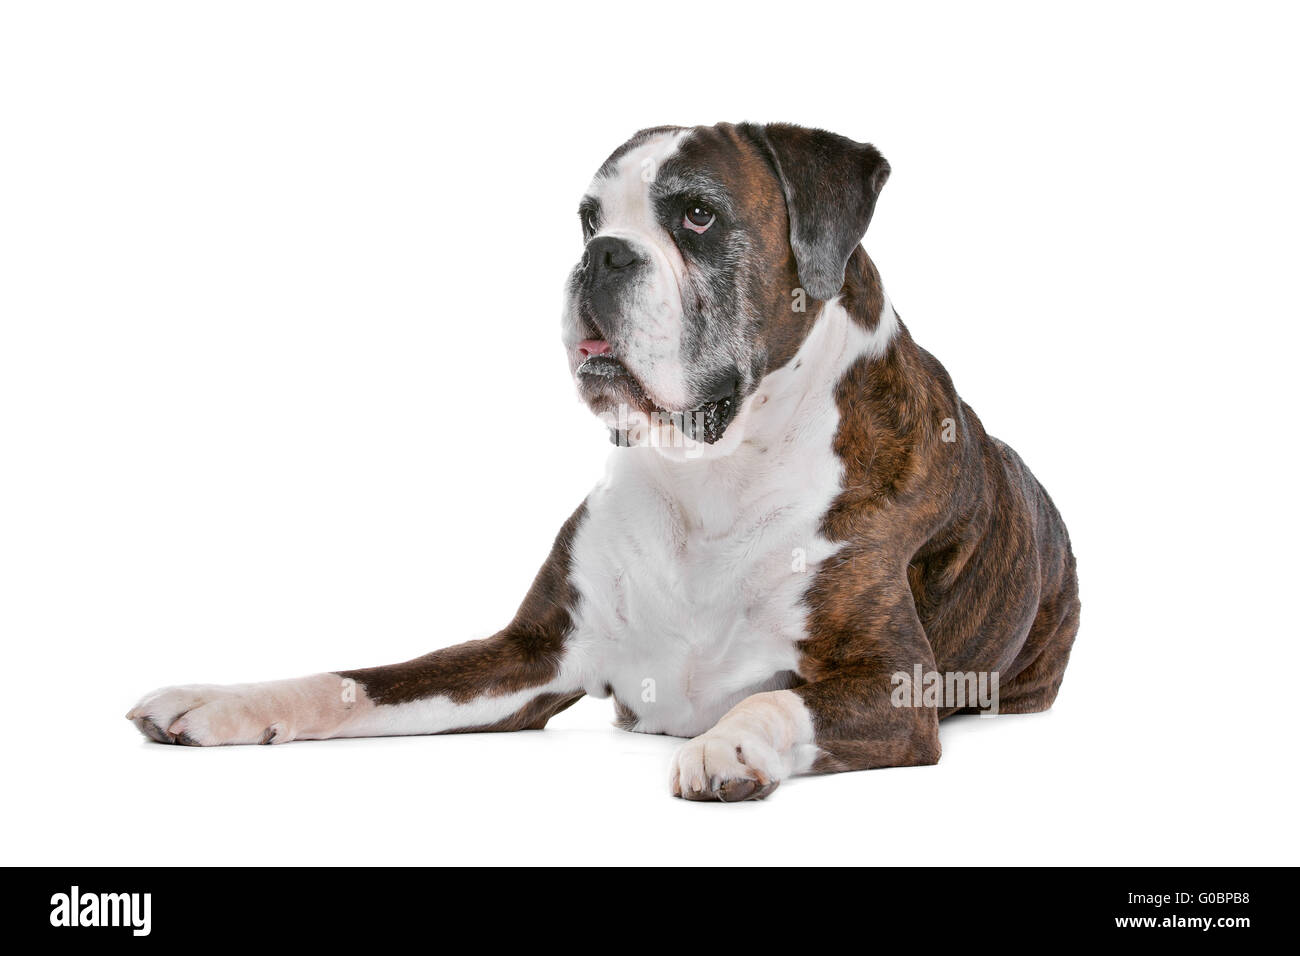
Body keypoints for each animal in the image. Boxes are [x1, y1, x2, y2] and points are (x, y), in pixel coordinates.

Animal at [126, 125, 1081, 801]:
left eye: (697, 215)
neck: (713, 470)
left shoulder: (895, 688)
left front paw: (728, 742)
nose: (600, 255)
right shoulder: (526, 656)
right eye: (588, 219)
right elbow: (359, 682)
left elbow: (778, 698)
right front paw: (222, 700)